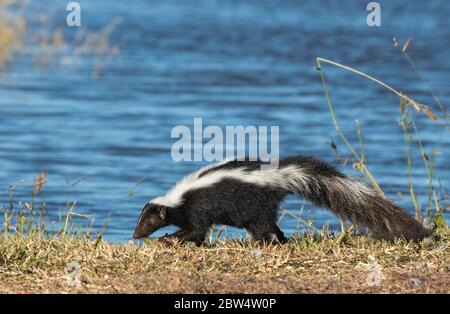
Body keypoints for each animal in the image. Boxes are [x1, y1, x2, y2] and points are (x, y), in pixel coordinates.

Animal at [134, 156, 432, 244]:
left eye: (147, 222)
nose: (136, 235)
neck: (177, 199)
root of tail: (279, 175)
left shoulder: (198, 207)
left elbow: (196, 229)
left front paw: (169, 239)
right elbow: (196, 232)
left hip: (255, 206)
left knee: (263, 227)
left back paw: (267, 242)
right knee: (272, 226)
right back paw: (282, 240)